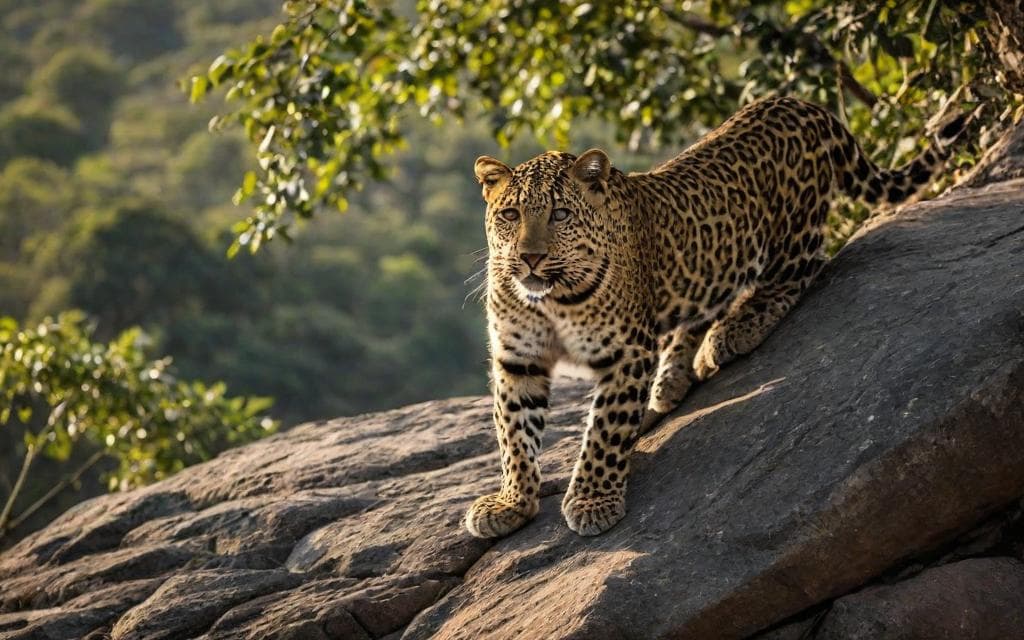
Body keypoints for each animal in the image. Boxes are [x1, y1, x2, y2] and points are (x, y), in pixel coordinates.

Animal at [464, 95, 967, 538]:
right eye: (510, 214)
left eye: (561, 214)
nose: (529, 258)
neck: (550, 299)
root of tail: (800, 104)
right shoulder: (517, 358)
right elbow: (513, 433)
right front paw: (511, 502)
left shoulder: (627, 353)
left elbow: (604, 432)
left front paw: (591, 499)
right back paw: (673, 378)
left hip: (790, 235)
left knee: (805, 269)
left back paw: (735, 330)